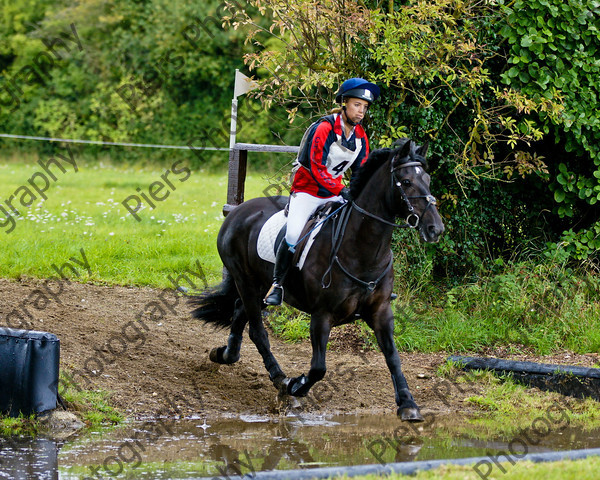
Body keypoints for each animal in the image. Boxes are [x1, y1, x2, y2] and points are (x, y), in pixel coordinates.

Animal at [190, 138, 442, 420]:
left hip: (259, 286)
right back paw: (280, 380)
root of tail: (237, 211)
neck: (362, 250)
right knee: (257, 330)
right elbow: (318, 367)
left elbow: (393, 357)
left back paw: (226, 354)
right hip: (245, 281)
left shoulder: (381, 311)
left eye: (428, 179)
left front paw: (408, 404)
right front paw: (297, 386)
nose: (435, 229)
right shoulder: (322, 315)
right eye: (406, 182)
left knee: (239, 311)